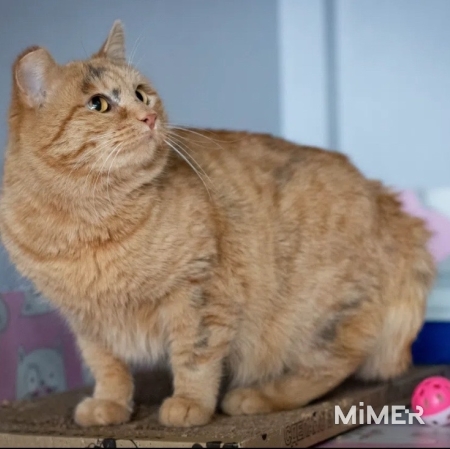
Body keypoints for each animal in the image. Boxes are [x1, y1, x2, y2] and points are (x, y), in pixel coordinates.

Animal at [0, 20, 436, 428]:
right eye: (98, 104)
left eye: (140, 92)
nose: (149, 116)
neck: (90, 223)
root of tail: (389, 204)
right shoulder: (86, 322)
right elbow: (107, 367)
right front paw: (110, 405)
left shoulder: (198, 293)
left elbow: (194, 357)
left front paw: (189, 404)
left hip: (319, 315)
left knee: (334, 364)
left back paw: (256, 396)